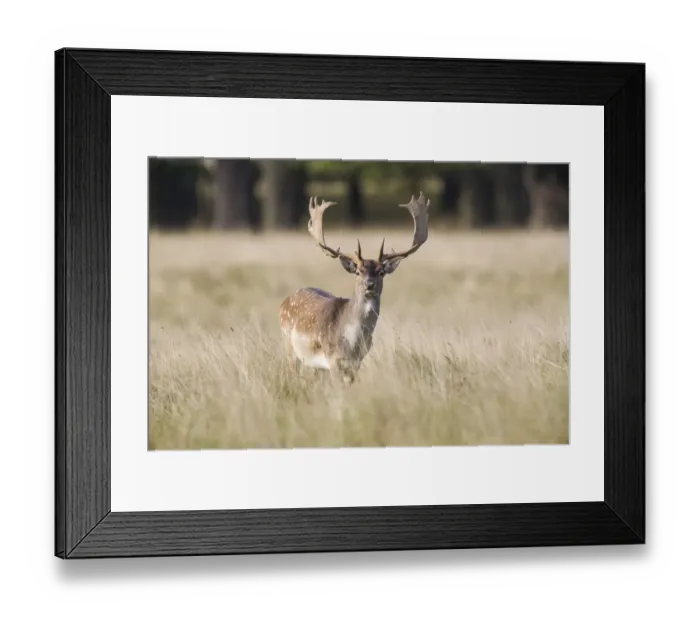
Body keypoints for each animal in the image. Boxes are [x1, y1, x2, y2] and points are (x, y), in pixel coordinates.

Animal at [278, 191, 430, 386]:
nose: (369, 284)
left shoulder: (357, 362)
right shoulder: (332, 358)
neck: (352, 343)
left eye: (381, 272)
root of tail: (285, 301)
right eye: (358, 271)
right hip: (289, 346)